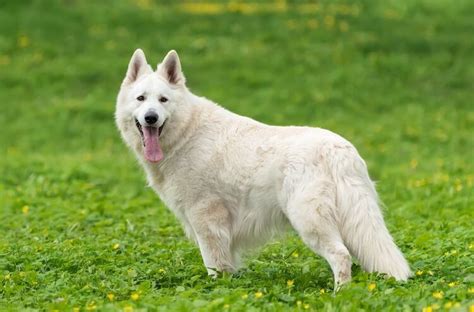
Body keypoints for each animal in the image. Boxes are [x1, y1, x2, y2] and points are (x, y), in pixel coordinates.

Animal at [115, 50, 412, 288]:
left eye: (163, 100)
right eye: (141, 99)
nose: (151, 118)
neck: (186, 133)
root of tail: (339, 150)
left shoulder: (207, 220)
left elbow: (214, 266)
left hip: (310, 222)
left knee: (341, 256)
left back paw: (341, 294)